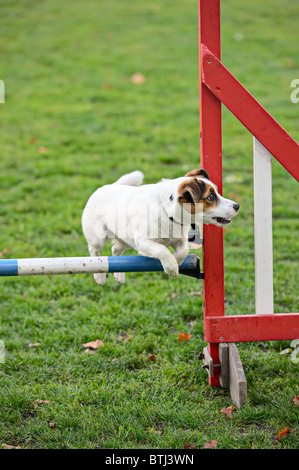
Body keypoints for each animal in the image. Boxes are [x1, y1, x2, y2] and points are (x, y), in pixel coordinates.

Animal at [81, 170, 239, 284]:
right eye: (211, 197)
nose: (237, 206)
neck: (169, 214)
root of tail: (108, 186)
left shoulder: (180, 240)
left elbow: (184, 251)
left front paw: (176, 261)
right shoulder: (144, 242)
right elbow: (162, 250)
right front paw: (171, 266)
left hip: (126, 240)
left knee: (116, 250)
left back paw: (119, 275)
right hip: (98, 238)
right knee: (94, 252)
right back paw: (100, 276)